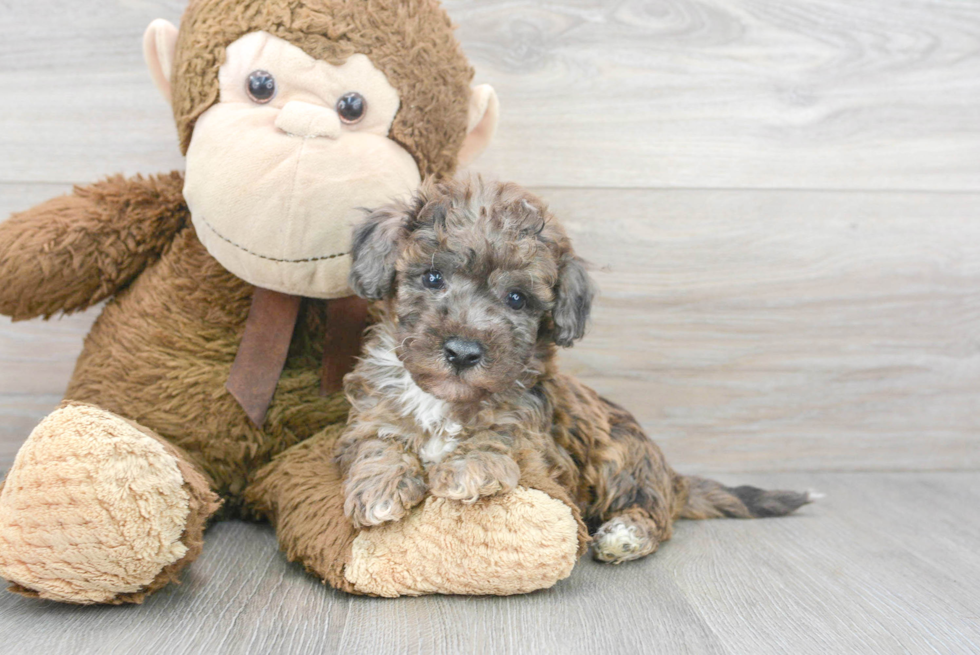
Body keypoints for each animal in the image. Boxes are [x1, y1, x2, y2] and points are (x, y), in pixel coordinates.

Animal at [334, 178, 816, 564]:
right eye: (432, 278)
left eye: (516, 299)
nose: (463, 353)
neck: (444, 400)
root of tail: (670, 477)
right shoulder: (368, 416)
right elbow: (377, 443)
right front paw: (380, 487)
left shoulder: (537, 438)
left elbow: (502, 435)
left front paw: (471, 466)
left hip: (619, 455)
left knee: (653, 514)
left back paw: (626, 535)